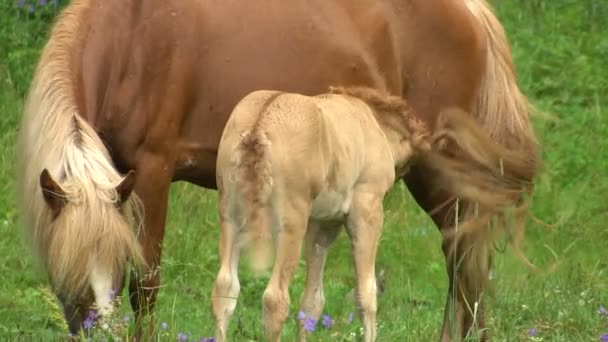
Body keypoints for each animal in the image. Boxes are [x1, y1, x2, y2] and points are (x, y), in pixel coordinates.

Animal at [213, 86, 532, 342]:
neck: (376, 125)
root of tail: (257, 129)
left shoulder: (323, 225)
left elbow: (312, 302)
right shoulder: (366, 211)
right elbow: (366, 294)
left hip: (231, 215)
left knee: (225, 288)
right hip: (290, 222)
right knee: (274, 299)